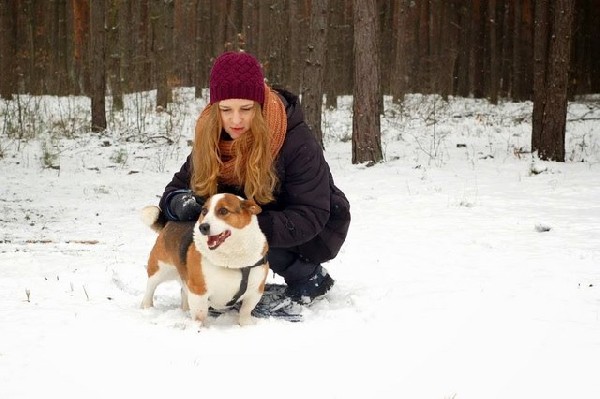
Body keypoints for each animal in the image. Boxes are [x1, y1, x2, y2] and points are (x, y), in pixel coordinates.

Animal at [139, 194, 268, 328]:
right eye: (204, 211)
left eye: (223, 211)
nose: (203, 227)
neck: (230, 257)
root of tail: (169, 223)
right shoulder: (199, 291)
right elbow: (199, 315)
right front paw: (198, 328)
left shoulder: (255, 291)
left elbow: (245, 311)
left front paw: (246, 325)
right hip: (159, 270)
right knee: (150, 289)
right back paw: (146, 307)